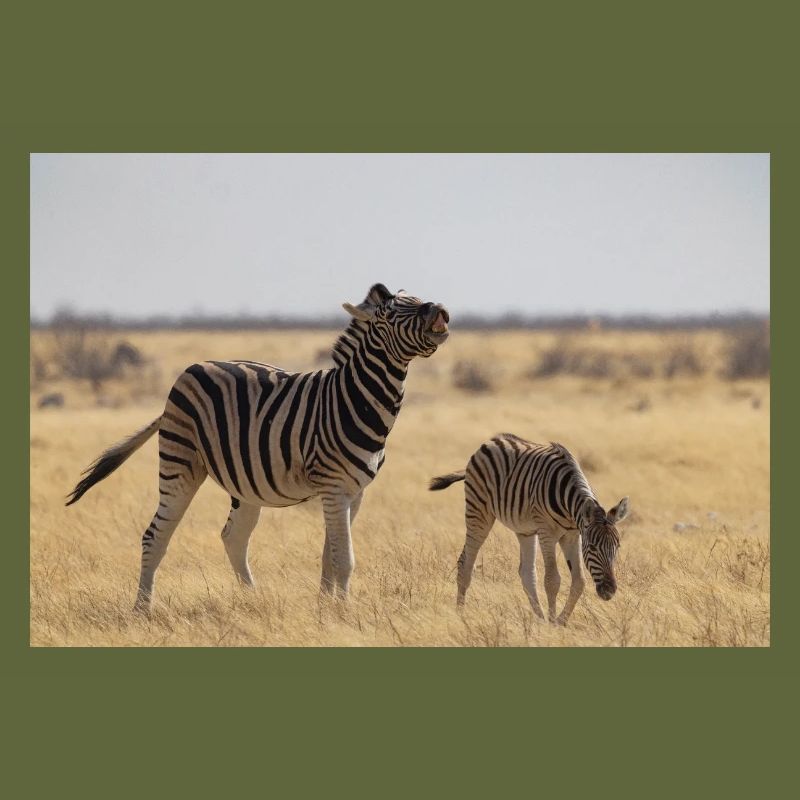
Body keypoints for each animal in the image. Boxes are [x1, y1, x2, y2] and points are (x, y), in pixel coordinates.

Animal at [66, 283, 450, 612]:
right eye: (390, 313)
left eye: (418, 299)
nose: (438, 309)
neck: (353, 400)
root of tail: (192, 368)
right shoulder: (334, 487)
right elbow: (344, 559)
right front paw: (343, 613)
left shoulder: (354, 491)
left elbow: (331, 555)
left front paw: (326, 608)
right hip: (180, 462)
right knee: (155, 536)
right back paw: (142, 610)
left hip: (245, 483)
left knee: (233, 537)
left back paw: (253, 599)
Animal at [429, 434, 629, 625]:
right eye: (593, 547)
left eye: (617, 547)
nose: (609, 591)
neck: (568, 507)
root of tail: (491, 441)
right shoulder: (547, 532)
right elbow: (552, 580)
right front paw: (553, 623)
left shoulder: (573, 535)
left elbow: (579, 580)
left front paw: (560, 622)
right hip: (478, 510)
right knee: (465, 563)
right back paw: (460, 613)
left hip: (525, 530)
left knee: (526, 573)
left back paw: (539, 619)